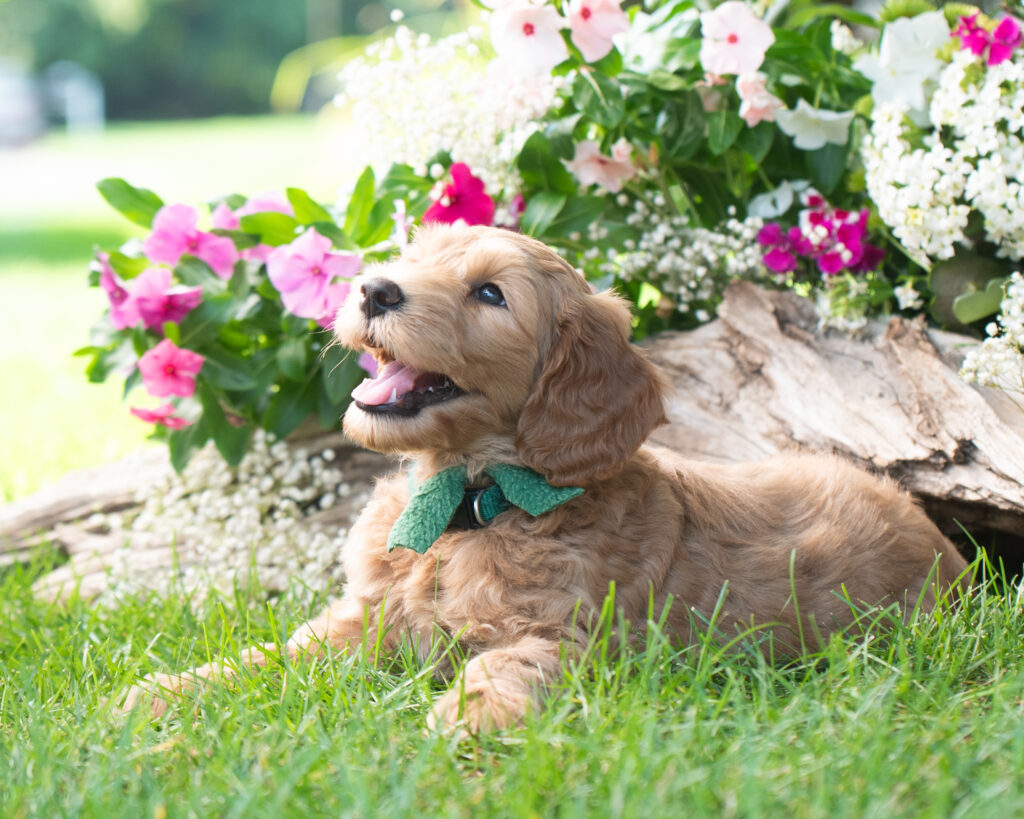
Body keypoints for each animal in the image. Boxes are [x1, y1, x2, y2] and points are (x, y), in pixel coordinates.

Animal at [119, 222, 966, 728]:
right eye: (412, 261)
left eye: (490, 293)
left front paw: (453, 730)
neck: (466, 503)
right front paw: (166, 691)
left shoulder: (567, 637)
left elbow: (497, 671)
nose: (373, 289)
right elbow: (270, 655)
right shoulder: (361, 618)